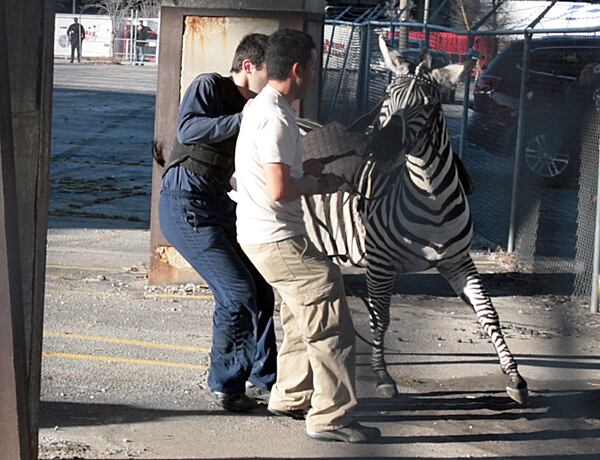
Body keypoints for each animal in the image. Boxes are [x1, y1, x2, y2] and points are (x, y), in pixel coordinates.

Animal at [302, 35, 528, 402]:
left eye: (425, 106)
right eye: (386, 98)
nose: (378, 148)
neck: (430, 197)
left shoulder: (459, 261)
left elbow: (488, 313)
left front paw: (514, 377)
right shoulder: (380, 263)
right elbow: (380, 318)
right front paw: (382, 377)